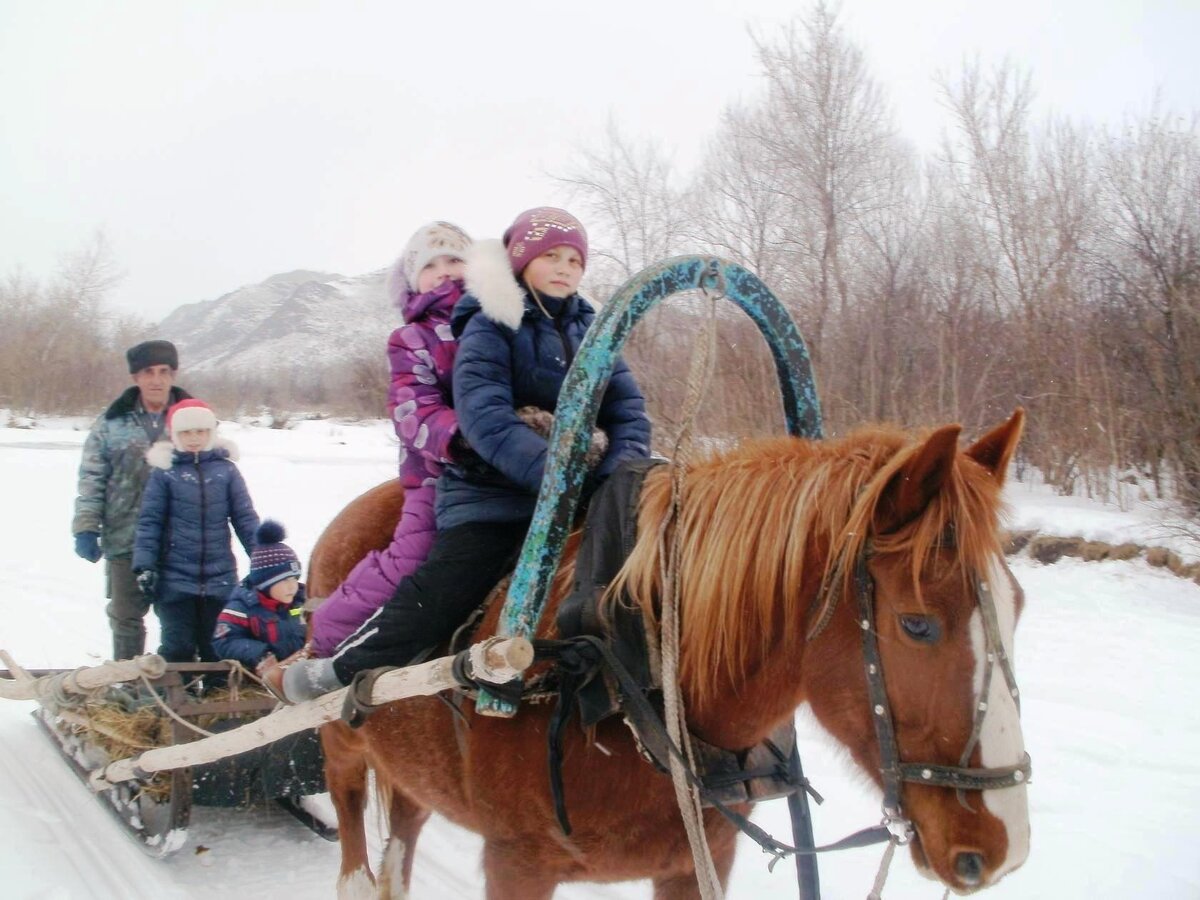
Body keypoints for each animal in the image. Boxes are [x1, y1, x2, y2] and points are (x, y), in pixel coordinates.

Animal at [309, 412, 1032, 897]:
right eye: (916, 624)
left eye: (1017, 606)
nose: (1003, 846)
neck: (619, 676)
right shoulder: (518, 863)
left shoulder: (696, 861)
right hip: (342, 739)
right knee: (350, 824)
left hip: (411, 765)